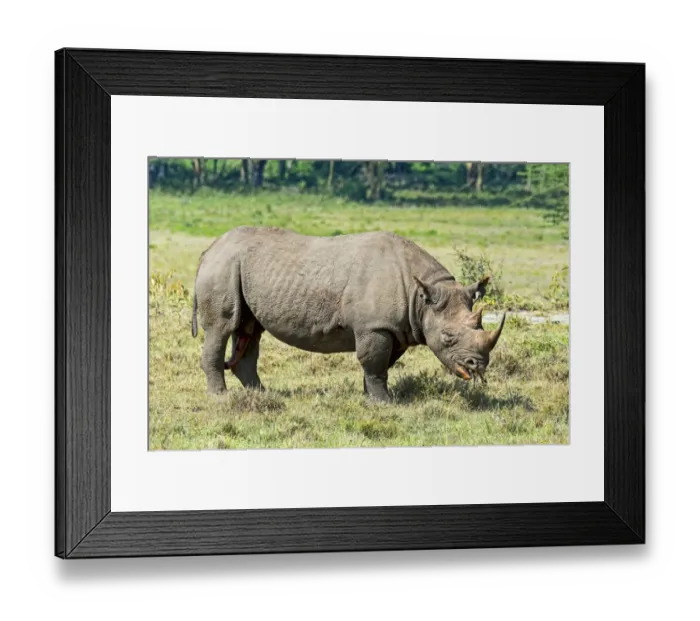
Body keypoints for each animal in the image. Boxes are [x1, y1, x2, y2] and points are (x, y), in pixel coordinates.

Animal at [191, 226, 506, 402]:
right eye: (448, 336)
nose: (478, 365)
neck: (422, 296)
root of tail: (208, 250)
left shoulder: (396, 328)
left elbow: (380, 365)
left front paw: (370, 398)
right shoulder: (375, 326)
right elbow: (375, 364)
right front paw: (384, 404)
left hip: (239, 267)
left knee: (250, 330)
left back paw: (261, 394)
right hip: (223, 267)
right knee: (222, 327)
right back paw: (220, 399)